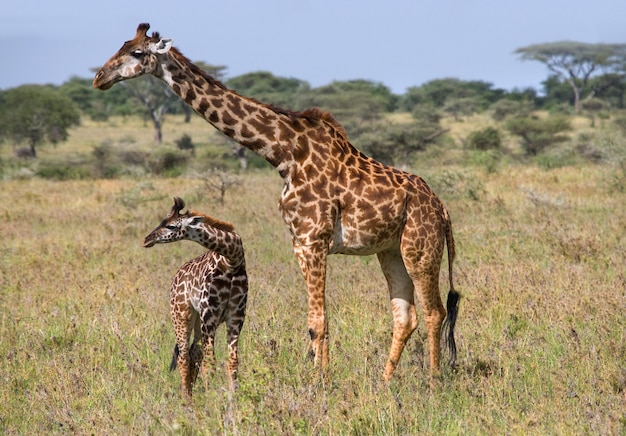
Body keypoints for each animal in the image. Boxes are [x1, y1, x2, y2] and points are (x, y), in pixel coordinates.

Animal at [143, 198, 247, 398]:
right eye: (162, 221)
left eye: (171, 226)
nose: (147, 240)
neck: (232, 260)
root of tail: (176, 278)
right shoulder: (210, 315)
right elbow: (210, 363)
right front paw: (212, 398)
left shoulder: (235, 317)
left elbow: (232, 362)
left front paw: (235, 396)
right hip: (182, 316)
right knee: (184, 356)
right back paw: (186, 398)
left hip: (199, 321)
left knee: (194, 353)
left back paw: (190, 393)